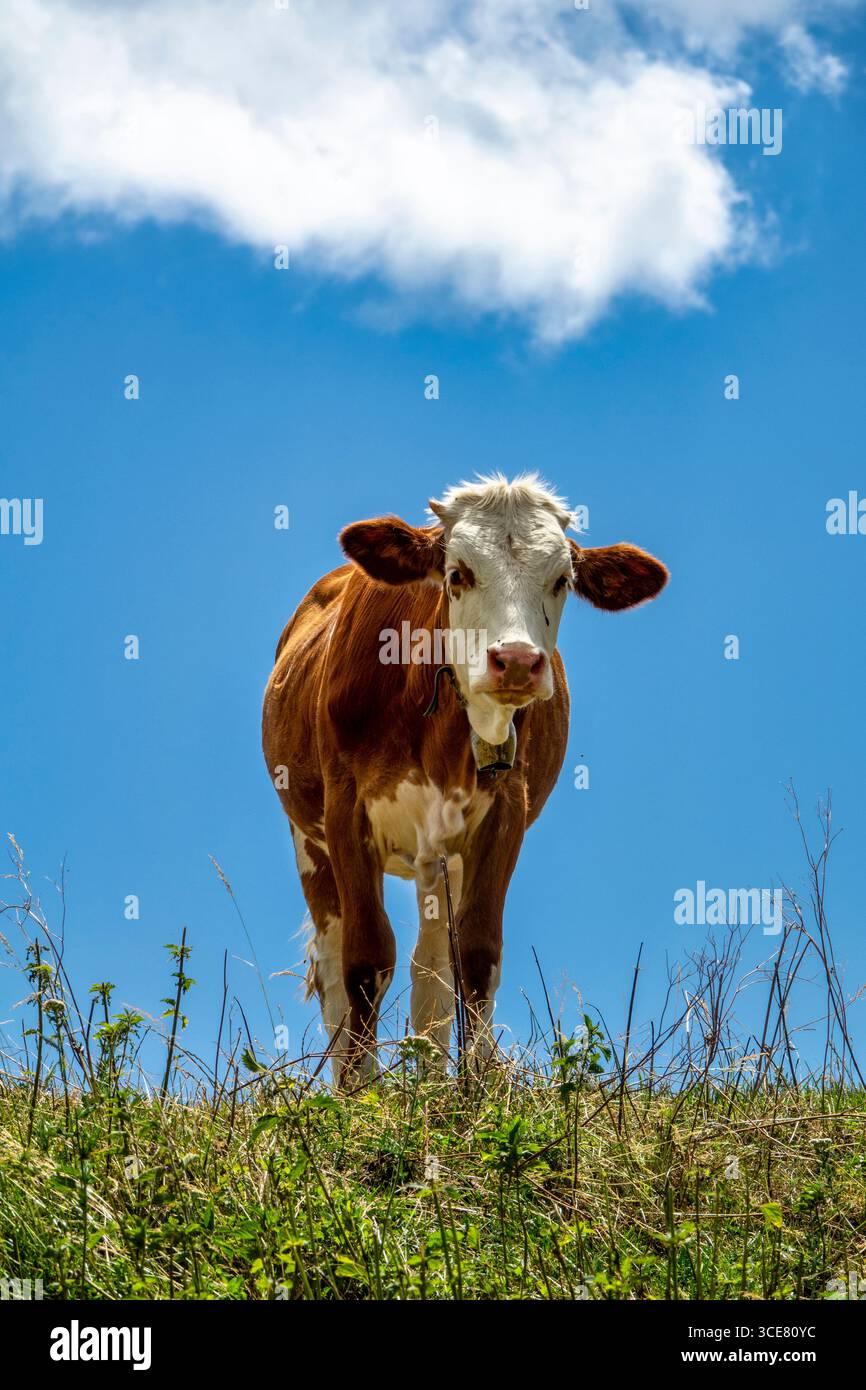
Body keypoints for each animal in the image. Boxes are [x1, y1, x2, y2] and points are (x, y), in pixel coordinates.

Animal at [262, 475, 668, 1086]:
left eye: (563, 580)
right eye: (458, 574)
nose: (517, 661)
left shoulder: (504, 815)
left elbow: (475, 955)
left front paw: (475, 1087)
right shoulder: (345, 813)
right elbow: (365, 957)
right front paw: (360, 1095)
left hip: (440, 856)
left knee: (430, 965)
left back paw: (430, 1081)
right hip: (309, 839)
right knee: (333, 964)